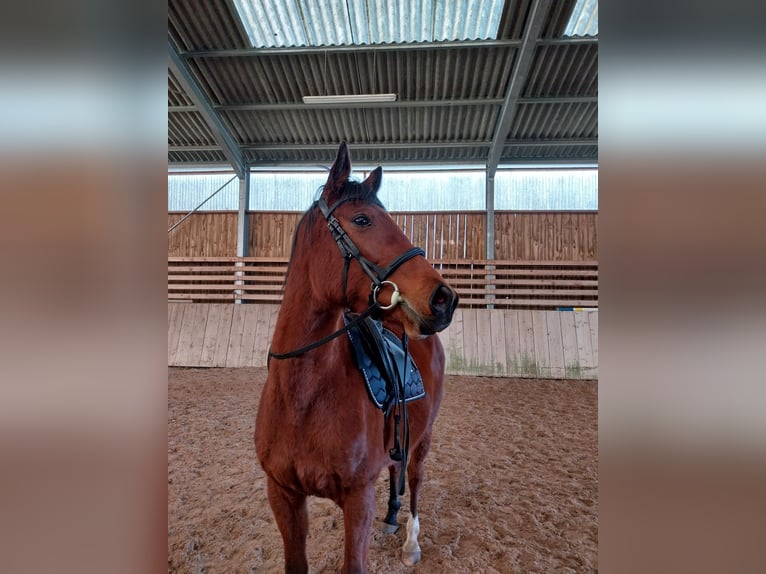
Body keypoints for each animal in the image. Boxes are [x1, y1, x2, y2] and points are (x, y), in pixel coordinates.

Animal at [258, 142, 460, 572]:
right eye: (363, 219)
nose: (444, 298)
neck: (303, 398)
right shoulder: (282, 495)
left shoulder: (358, 498)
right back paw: (392, 516)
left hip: (425, 438)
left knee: (414, 480)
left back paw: (411, 542)